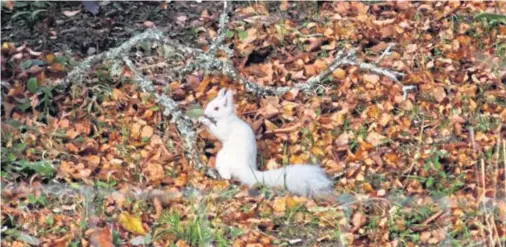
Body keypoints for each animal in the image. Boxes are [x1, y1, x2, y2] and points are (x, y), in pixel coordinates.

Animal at [199, 88, 336, 198]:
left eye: (216, 108)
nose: (205, 113)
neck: (227, 117)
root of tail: (246, 169)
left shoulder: (226, 127)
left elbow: (217, 132)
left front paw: (205, 121)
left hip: (223, 157)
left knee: (227, 174)